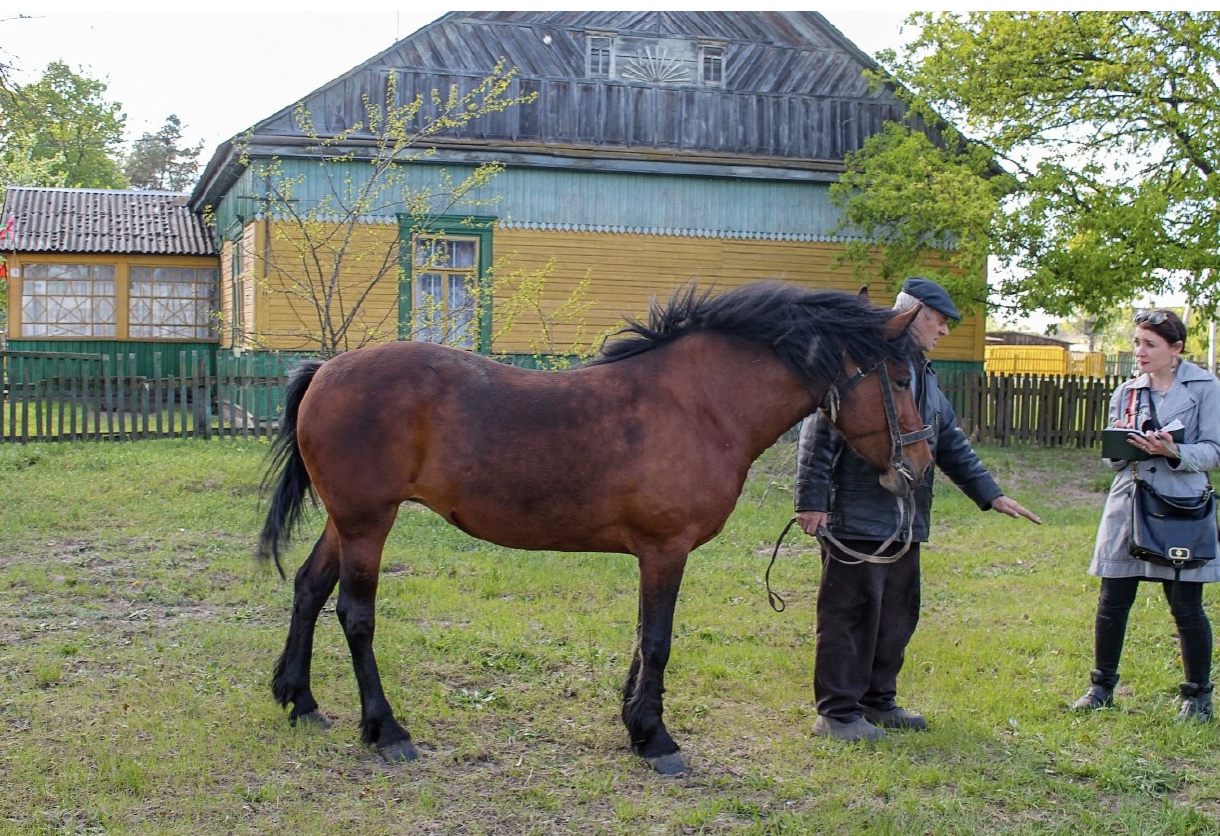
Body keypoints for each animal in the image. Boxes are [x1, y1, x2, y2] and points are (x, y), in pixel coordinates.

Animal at [258, 281, 933, 775]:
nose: (922, 464)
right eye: (901, 379)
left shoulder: (654, 555)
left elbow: (641, 638)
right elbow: (657, 641)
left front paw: (635, 725)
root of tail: (326, 370)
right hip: (368, 522)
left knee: (308, 588)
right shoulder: (666, 550)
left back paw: (300, 699)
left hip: (346, 521)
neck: (701, 404)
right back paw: (386, 730)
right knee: (355, 614)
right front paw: (657, 740)